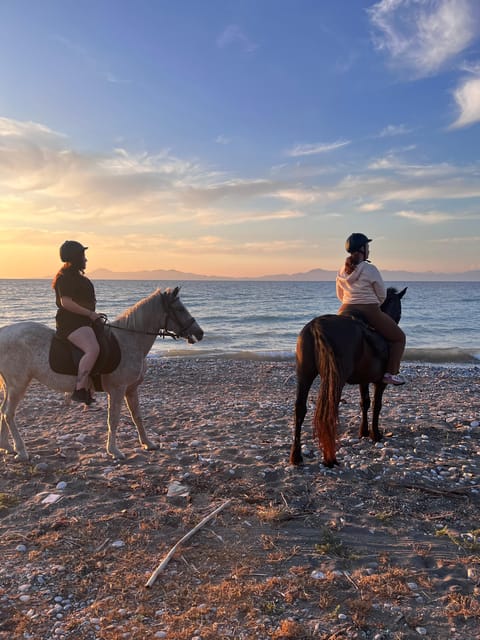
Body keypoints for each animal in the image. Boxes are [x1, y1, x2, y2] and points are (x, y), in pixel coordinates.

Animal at [0, 287, 204, 461]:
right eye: (179, 308)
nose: (200, 333)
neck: (130, 339)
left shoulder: (131, 389)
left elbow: (137, 416)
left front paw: (148, 443)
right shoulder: (117, 390)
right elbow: (113, 419)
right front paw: (114, 451)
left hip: (10, 386)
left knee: (3, 411)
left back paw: (7, 447)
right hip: (18, 384)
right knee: (9, 414)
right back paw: (22, 451)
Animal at [289, 287, 407, 468]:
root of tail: (317, 326)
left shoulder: (364, 380)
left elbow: (365, 402)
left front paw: (364, 432)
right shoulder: (380, 382)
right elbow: (377, 405)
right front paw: (375, 434)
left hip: (304, 374)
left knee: (300, 409)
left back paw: (296, 456)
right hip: (335, 379)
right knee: (329, 411)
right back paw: (329, 458)